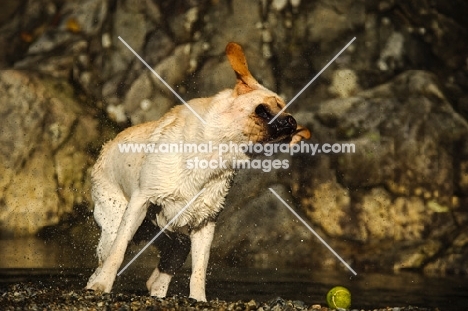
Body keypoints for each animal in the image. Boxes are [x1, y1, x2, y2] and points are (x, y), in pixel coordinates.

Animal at [87, 42, 310, 302]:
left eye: (289, 129)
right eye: (264, 109)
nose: (291, 122)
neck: (216, 154)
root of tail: (107, 146)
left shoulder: (205, 224)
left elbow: (199, 270)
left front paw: (198, 299)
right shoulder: (140, 203)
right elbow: (118, 252)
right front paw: (102, 285)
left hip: (170, 233)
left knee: (168, 263)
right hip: (116, 223)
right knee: (107, 256)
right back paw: (98, 281)